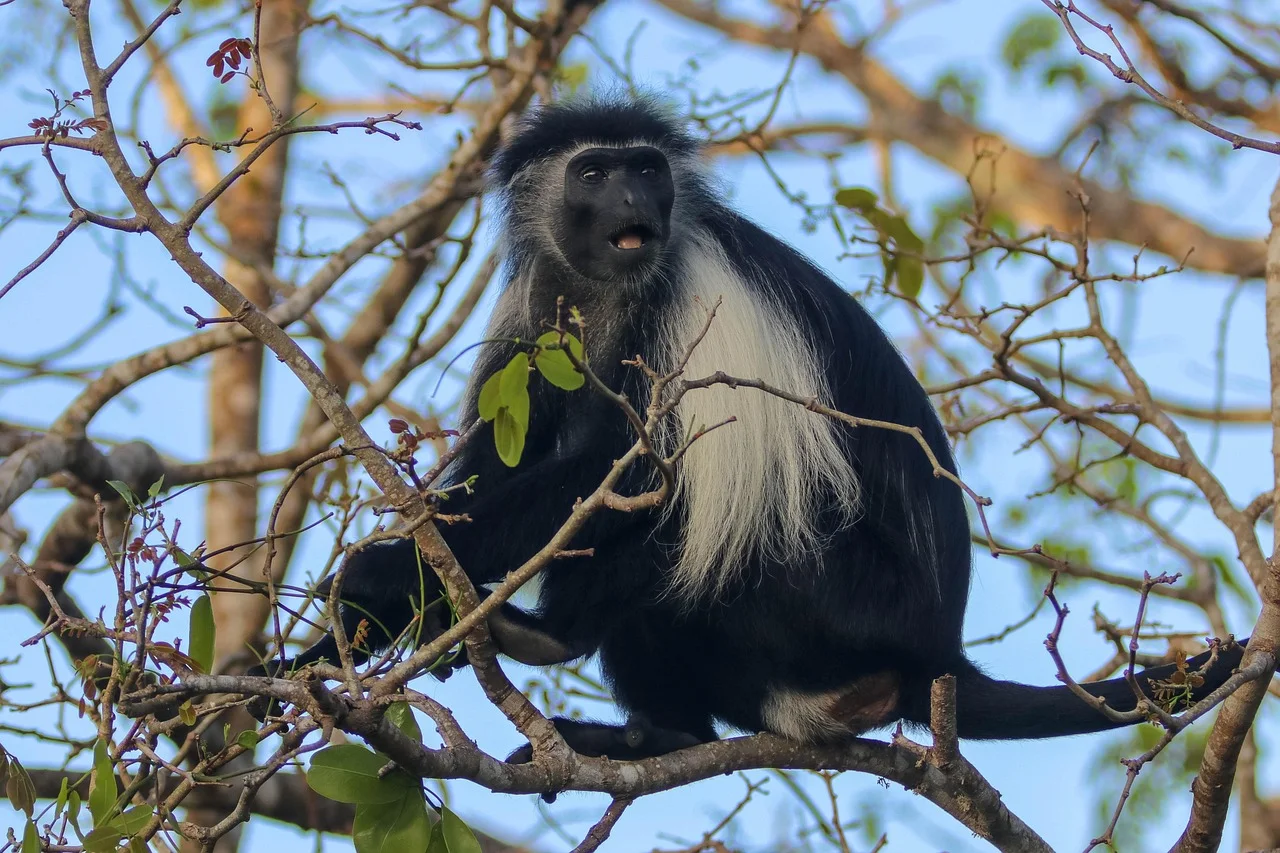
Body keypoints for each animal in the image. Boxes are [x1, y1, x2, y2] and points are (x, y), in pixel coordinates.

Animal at [248, 94, 1268, 761]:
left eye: (646, 168)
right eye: (593, 171)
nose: (636, 202)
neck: (613, 287)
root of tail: (938, 648)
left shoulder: (694, 298)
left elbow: (639, 471)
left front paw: (384, 574)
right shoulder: (537, 311)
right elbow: (497, 469)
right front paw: (343, 637)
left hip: (838, 596)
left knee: (695, 532)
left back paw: (566, 650)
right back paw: (642, 725)